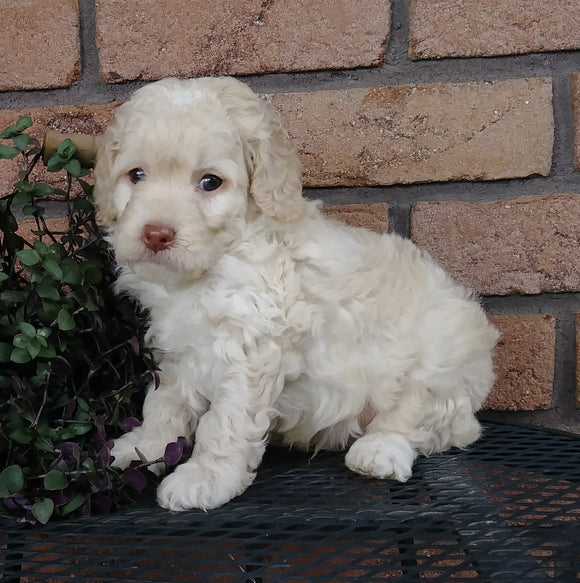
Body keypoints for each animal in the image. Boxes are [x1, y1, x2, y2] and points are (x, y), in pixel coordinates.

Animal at [94, 76, 498, 512]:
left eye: (210, 182)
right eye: (136, 175)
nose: (156, 234)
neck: (211, 267)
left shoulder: (250, 349)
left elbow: (224, 423)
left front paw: (204, 479)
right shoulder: (179, 352)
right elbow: (164, 405)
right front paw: (140, 447)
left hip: (438, 362)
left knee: (422, 420)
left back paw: (379, 452)